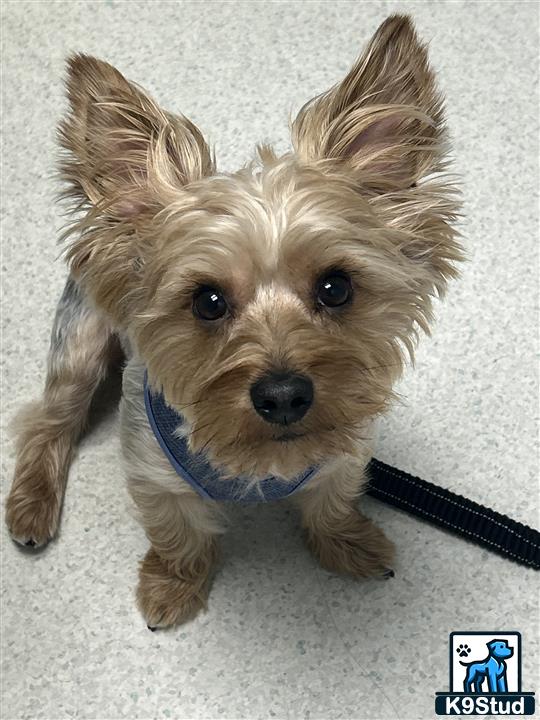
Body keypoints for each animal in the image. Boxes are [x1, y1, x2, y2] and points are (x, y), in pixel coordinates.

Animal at [4, 14, 462, 628]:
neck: (256, 462)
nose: (284, 396)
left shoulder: (345, 450)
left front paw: (348, 544)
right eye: (208, 301)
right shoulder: (154, 471)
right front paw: (172, 587)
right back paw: (32, 505)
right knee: (48, 421)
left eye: (336, 287)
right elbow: (178, 534)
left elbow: (332, 502)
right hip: (80, 338)